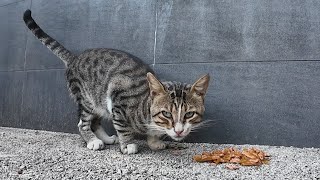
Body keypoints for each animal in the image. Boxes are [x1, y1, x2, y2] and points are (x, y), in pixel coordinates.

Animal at [23, 9, 210, 154]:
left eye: (189, 114)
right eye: (167, 114)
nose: (178, 131)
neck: (144, 108)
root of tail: (74, 58)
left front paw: (154, 140)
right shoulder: (118, 96)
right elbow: (123, 127)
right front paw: (127, 145)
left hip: (98, 101)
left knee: (95, 121)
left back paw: (105, 138)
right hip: (87, 98)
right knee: (83, 122)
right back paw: (93, 141)